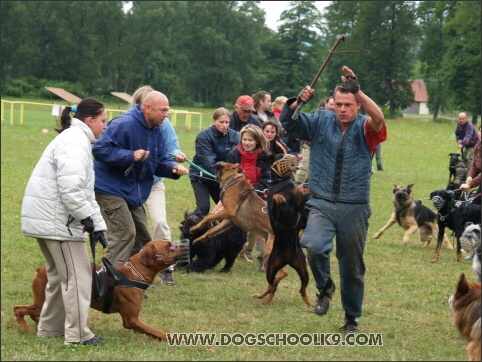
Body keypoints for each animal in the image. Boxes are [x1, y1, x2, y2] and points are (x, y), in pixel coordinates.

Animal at [254, 154, 314, 306]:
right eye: (280, 155)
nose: (294, 158)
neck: (282, 183)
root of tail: (287, 259)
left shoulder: (298, 207)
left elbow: (299, 199)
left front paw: (303, 190)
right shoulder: (273, 209)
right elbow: (276, 198)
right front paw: (280, 197)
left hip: (303, 270)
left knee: (302, 290)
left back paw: (310, 303)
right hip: (271, 269)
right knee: (272, 284)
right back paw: (266, 298)